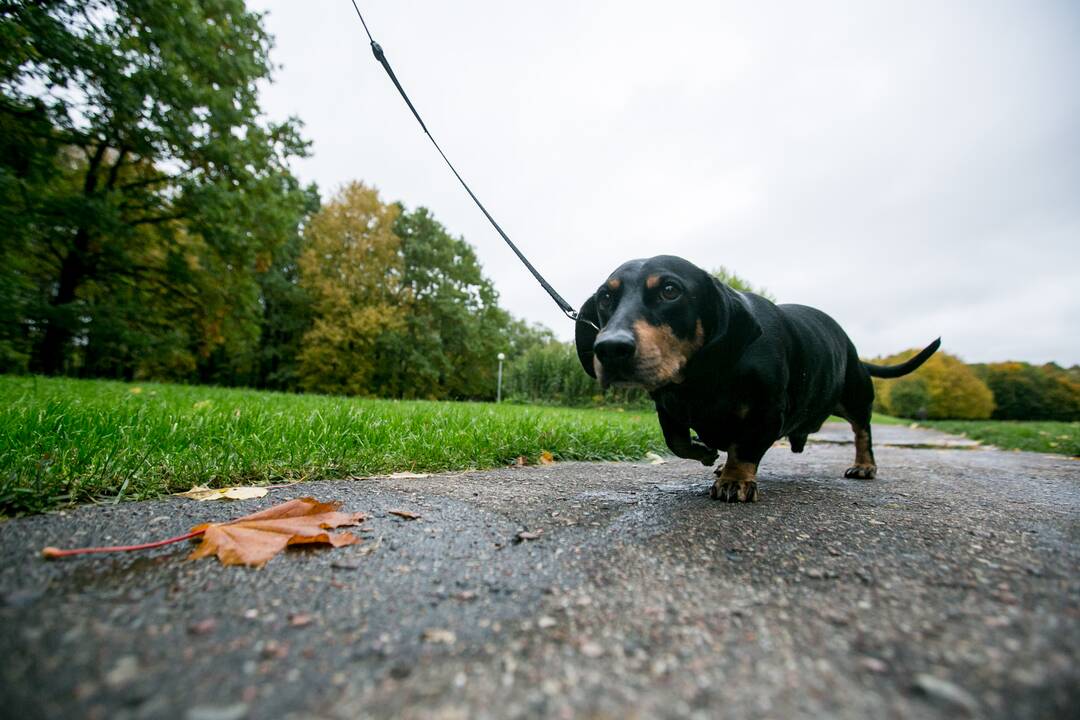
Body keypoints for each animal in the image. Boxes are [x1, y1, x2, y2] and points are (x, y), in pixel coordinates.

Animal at [578, 257, 941, 500]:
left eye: (670, 290)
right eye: (605, 298)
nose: (610, 349)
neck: (700, 379)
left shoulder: (767, 412)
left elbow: (746, 448)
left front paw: (734, 480)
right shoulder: (668, 410)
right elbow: (677, 442)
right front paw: (707, 454)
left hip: (854, 396)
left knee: (862, 430)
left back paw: (865, 466)